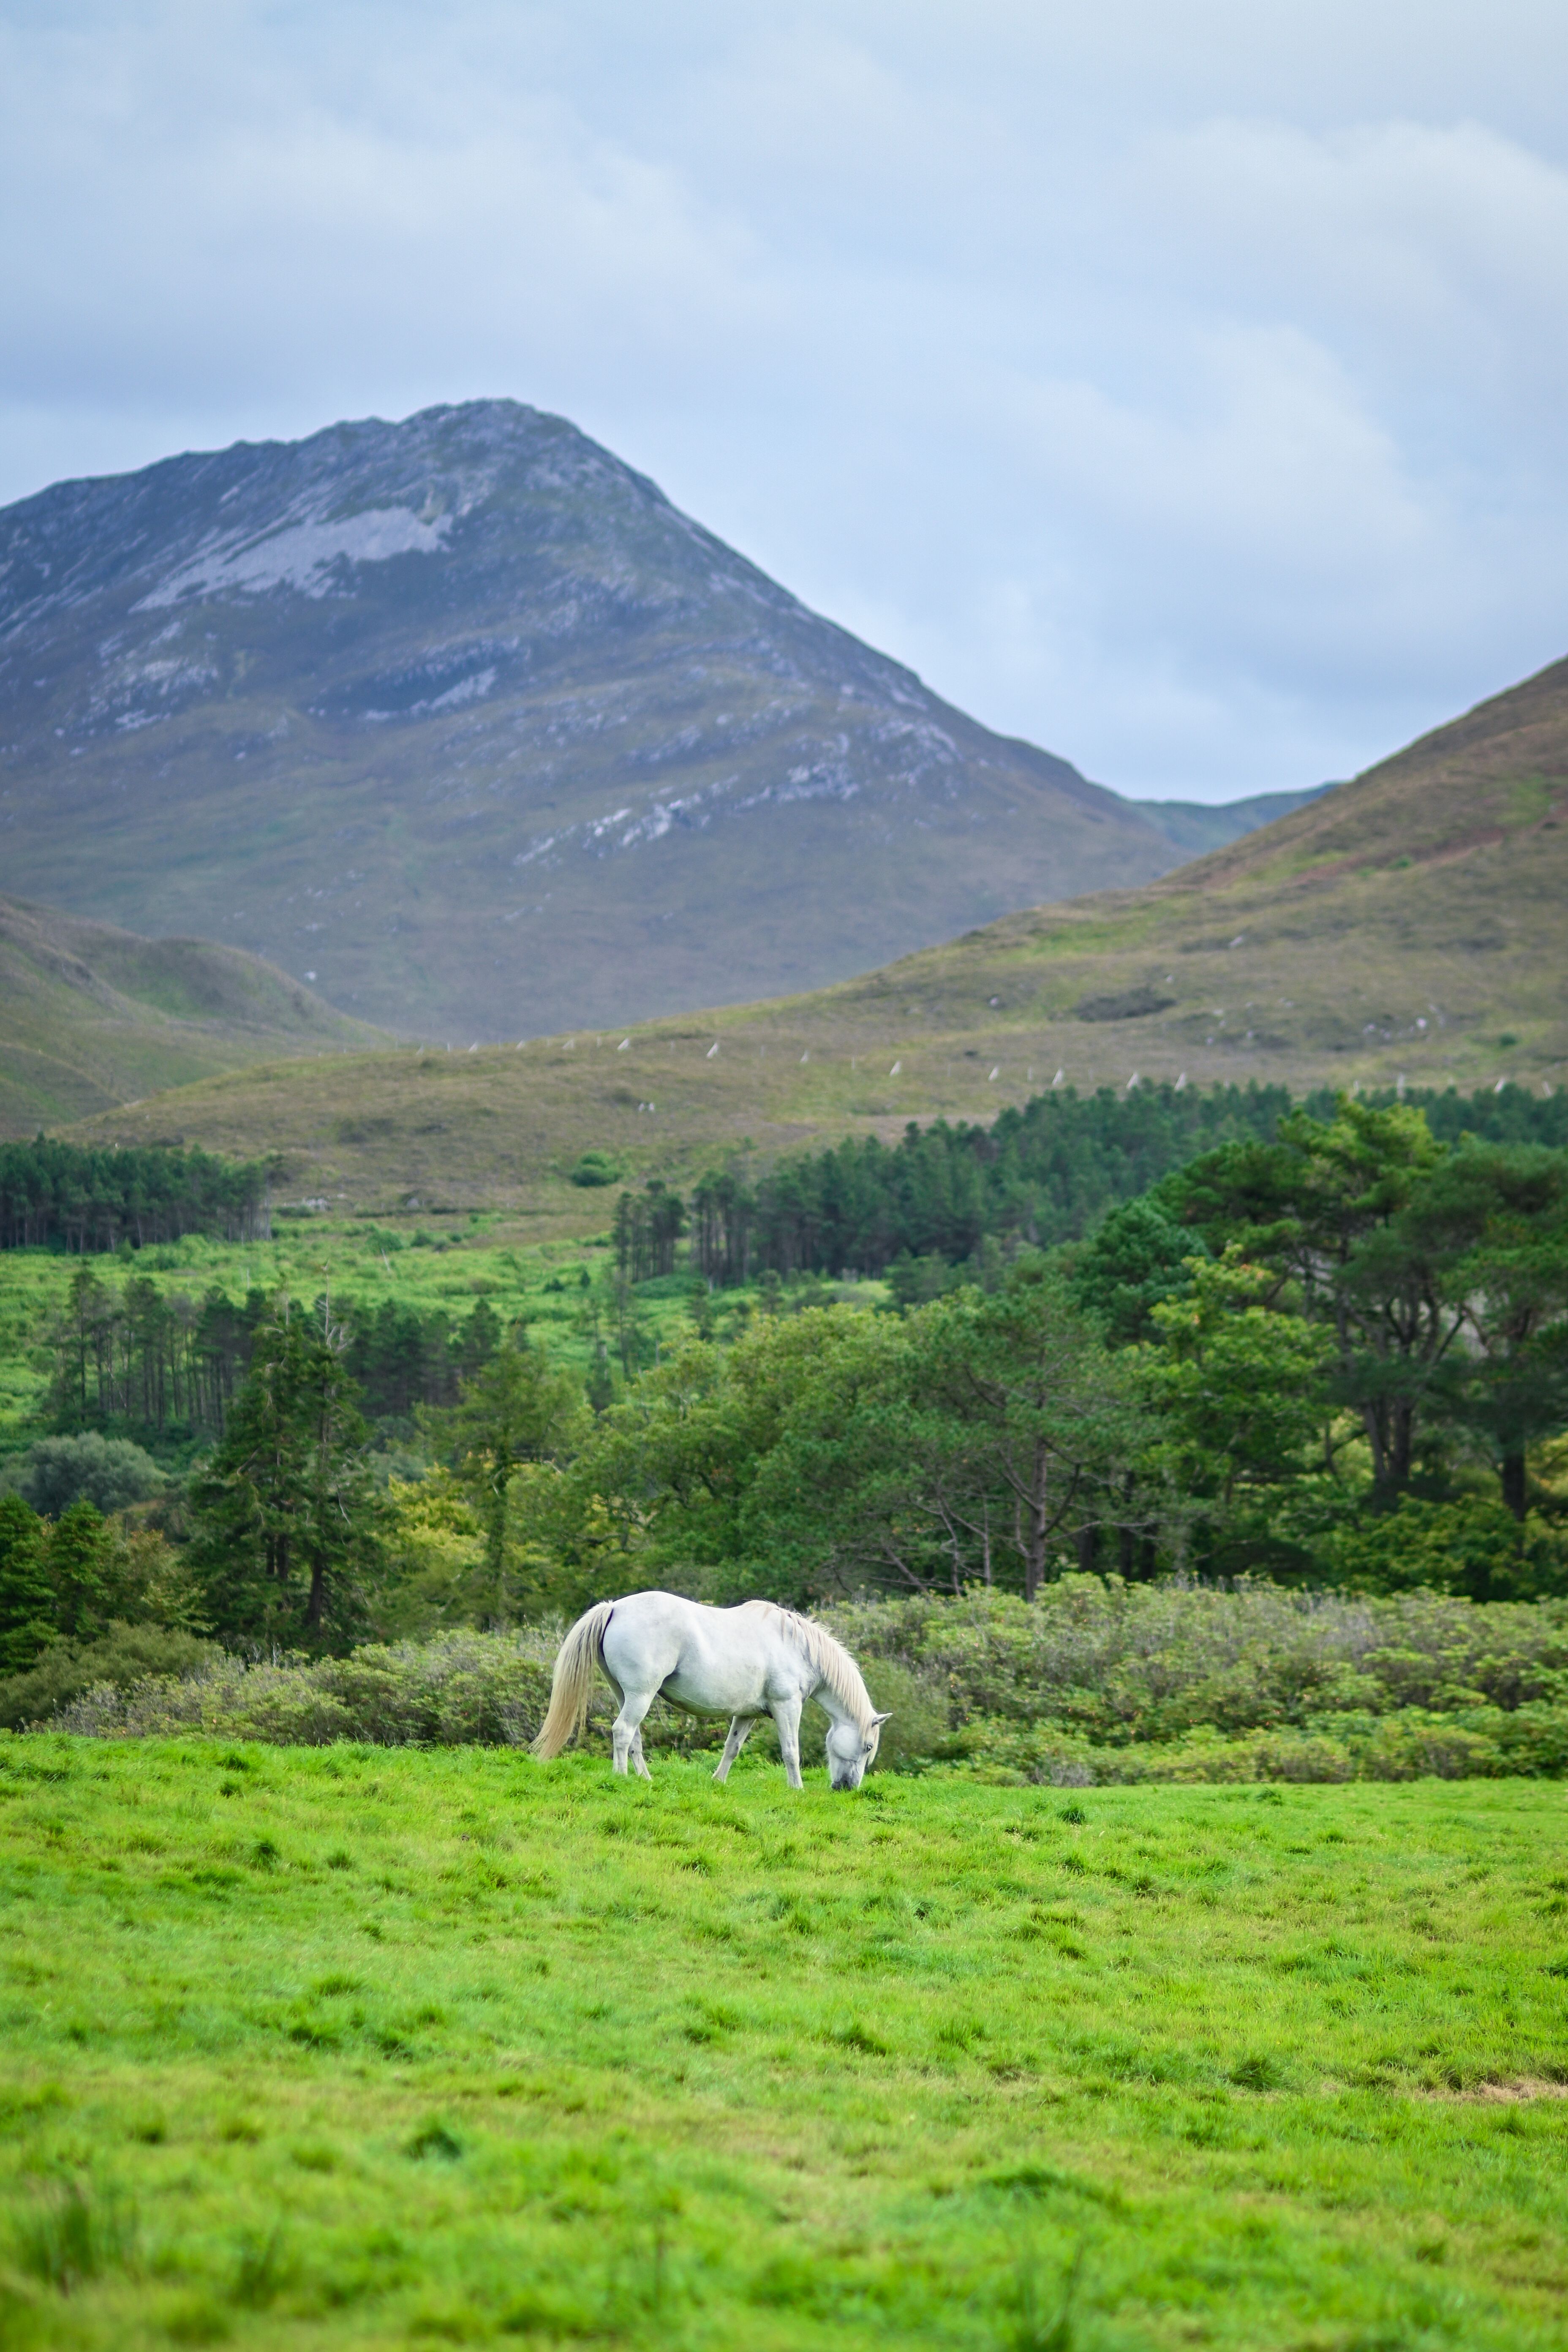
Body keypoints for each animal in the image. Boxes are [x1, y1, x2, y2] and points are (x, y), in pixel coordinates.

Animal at [532, 1591, 890, 1790]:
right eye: (868, 1747)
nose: (848, 1788)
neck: (797, 1646)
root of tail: (614, 1608)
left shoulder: (747, 1715)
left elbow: (732, 1748)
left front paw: (718, 1782)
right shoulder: (787, 1706)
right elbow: (792, 1752)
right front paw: (797, 1789)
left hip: (627, 1695)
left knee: (634, 1739)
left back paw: (646, 1780)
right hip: (640, 1695)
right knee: (622, 1732)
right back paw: (621, 1778)